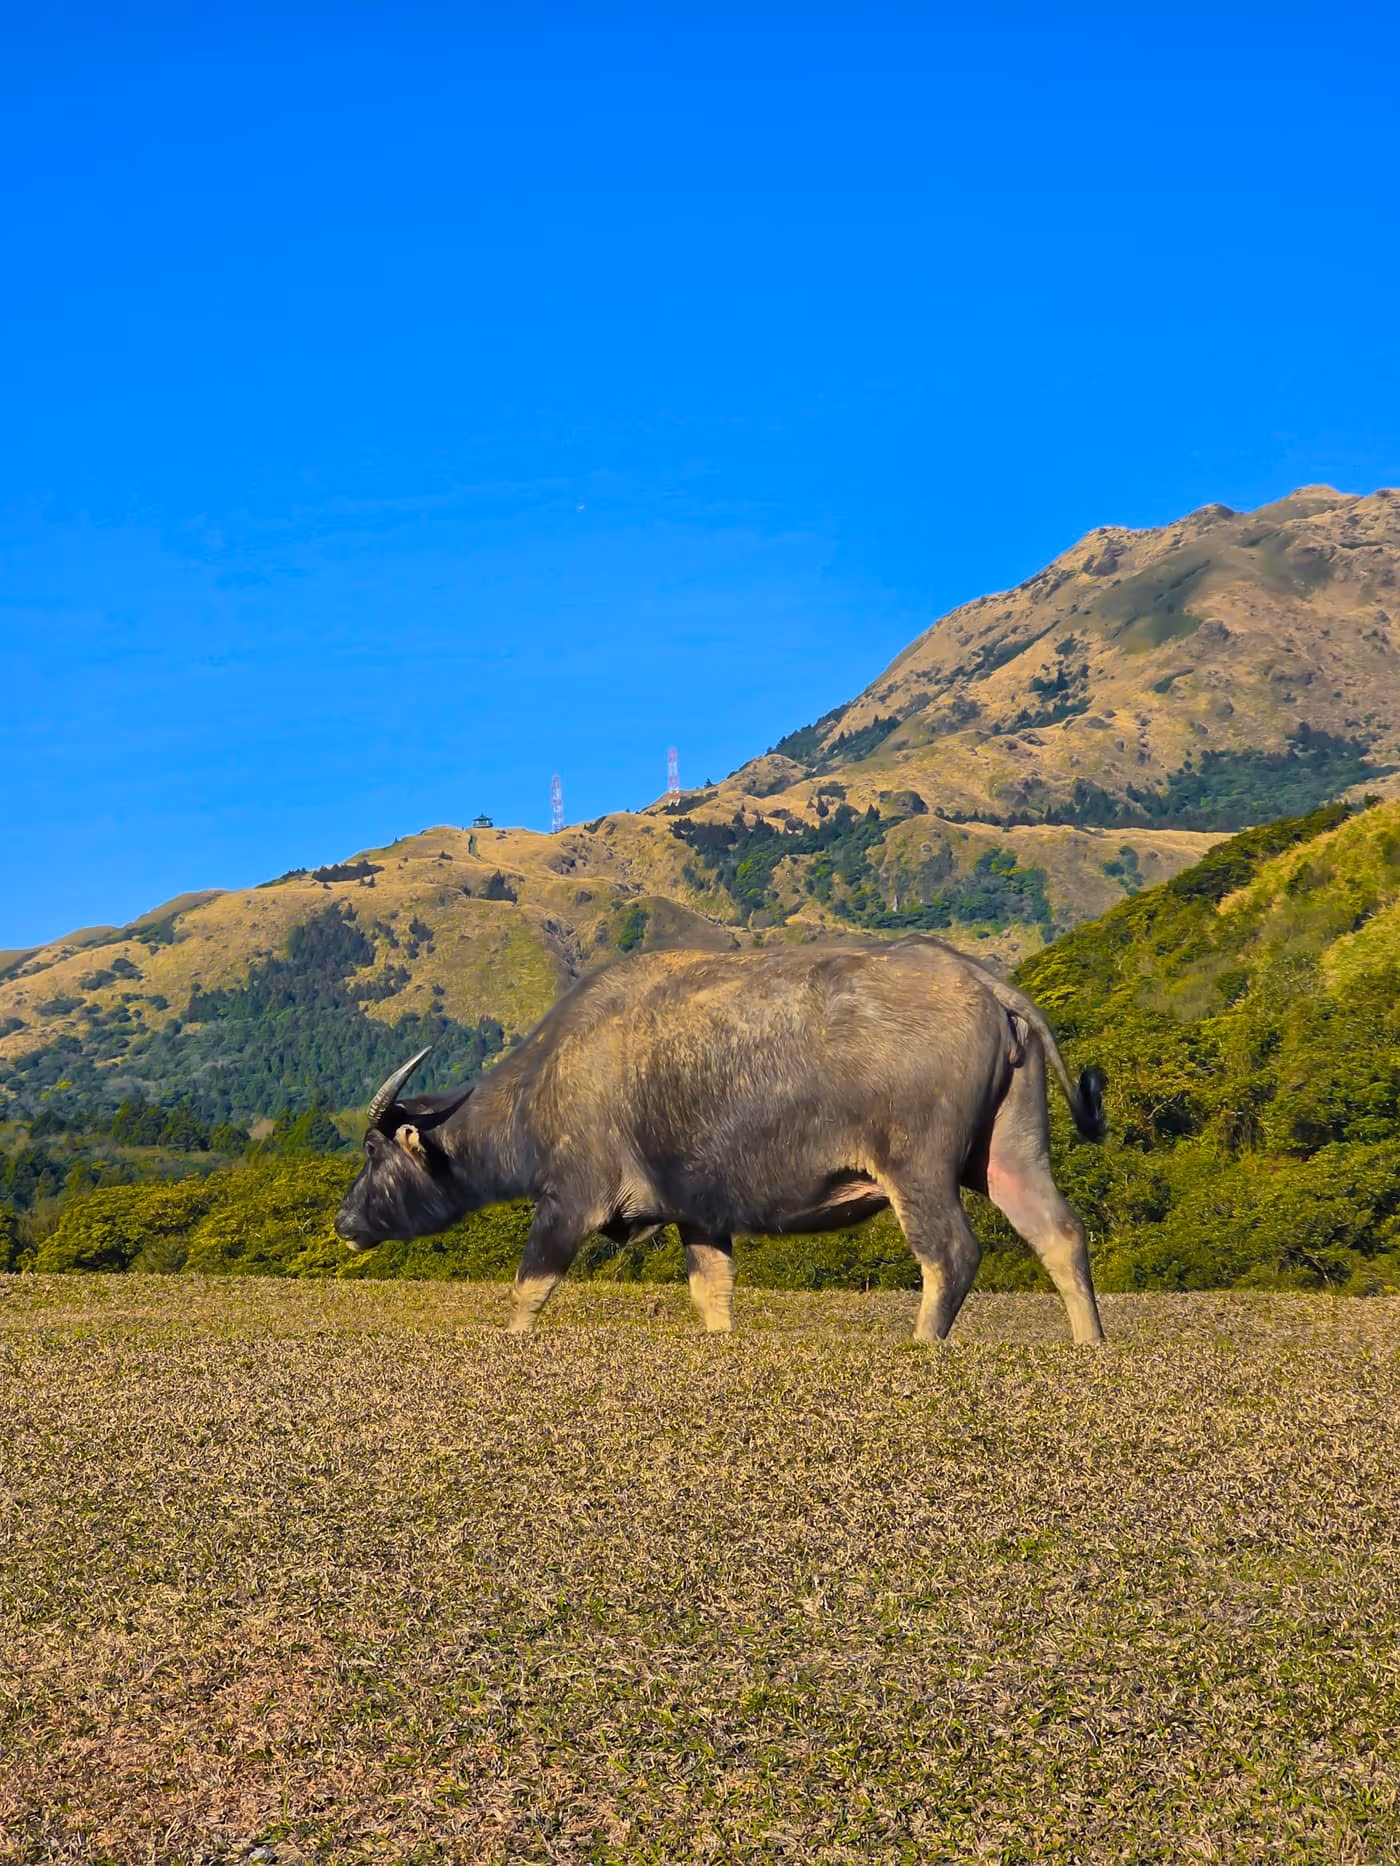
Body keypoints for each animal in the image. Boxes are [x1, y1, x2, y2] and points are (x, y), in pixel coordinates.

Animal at [335, 936, 1107, 1343]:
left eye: (372, 1153)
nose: (344, 1220)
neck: (547, 1080)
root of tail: (980, 979)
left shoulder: (567, 1204)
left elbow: (526, 1294)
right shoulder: (699, 1217)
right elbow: (713, 1297)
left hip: (917, 1168)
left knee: (951, 1253)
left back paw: (922, 1346)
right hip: (1009, 1155)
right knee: (1061, 1233)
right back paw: (1089, 1345)